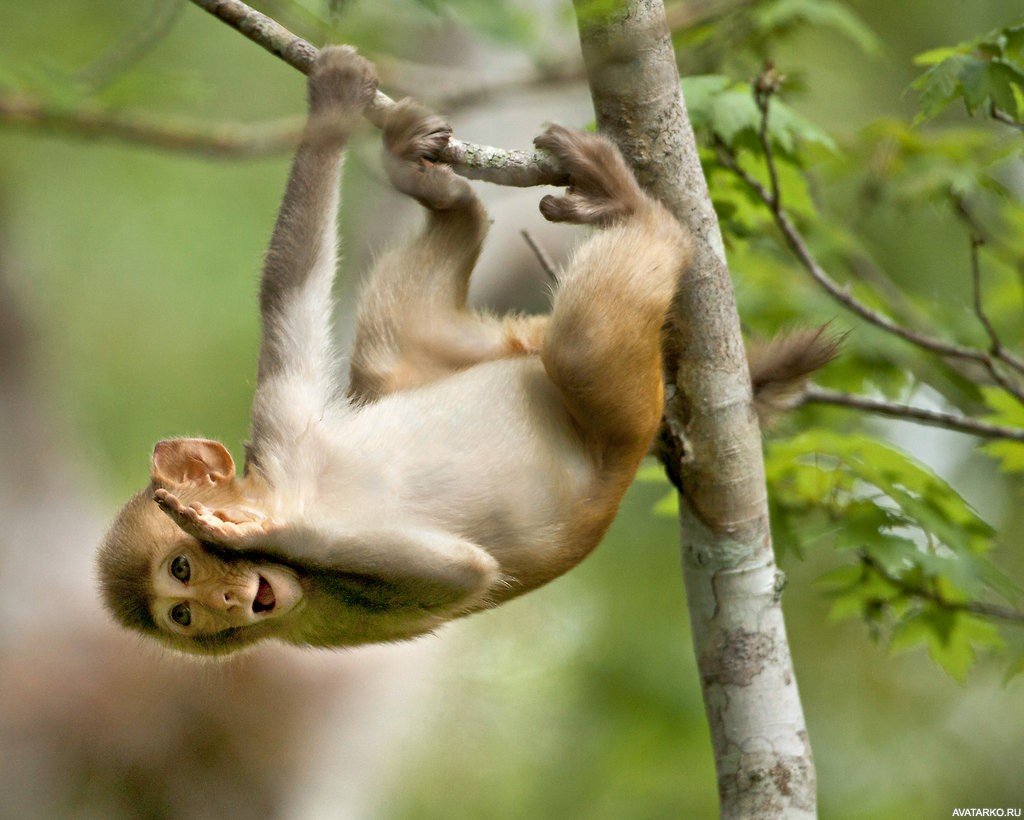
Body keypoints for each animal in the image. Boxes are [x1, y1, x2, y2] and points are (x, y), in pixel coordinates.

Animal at [97, 47, 837, 656]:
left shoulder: (282, 441)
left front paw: (333, 95)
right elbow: (462, 574)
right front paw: (257, 537)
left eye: (184, 569)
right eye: (184, 615)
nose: (226, 604)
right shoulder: (315, 607)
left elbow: (288, 280)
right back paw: (608, 217)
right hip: (593, 395)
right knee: (559, 346)